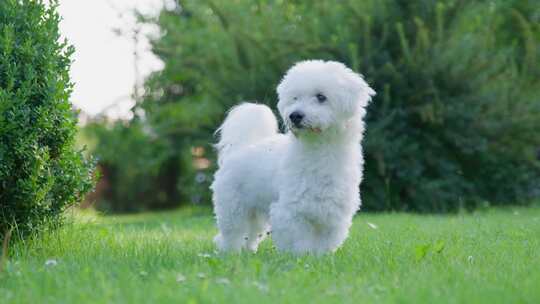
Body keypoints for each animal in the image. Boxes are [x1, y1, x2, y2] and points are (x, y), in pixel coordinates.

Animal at [211, 60, 376, 254]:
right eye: (295, 98)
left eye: (321, 97)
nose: (295, 115)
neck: (319, 151)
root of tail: (241, 147)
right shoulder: (290, 211)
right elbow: (299, 242)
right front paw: (300, 257)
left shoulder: (333, 215)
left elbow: (325, 243)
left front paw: (321, 257)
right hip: (233, 208)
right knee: (231, 234)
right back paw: (230, 252)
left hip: (256, 211)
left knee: (250, 234)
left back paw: (248, 252)